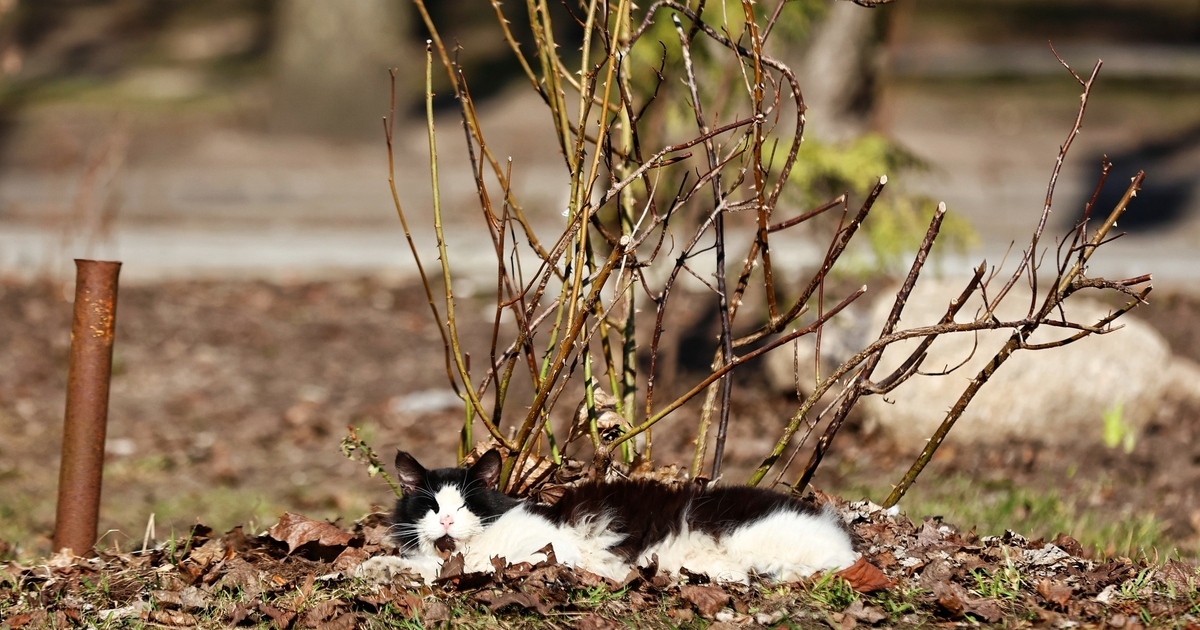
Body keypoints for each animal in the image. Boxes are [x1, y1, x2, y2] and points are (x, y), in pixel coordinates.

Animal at [356, 449, 857, 585]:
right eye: (431, 507)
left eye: (463, 506)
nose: (445, 523)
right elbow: (422, 565)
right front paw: (375, 566)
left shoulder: (548, 552)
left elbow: (457, 569)